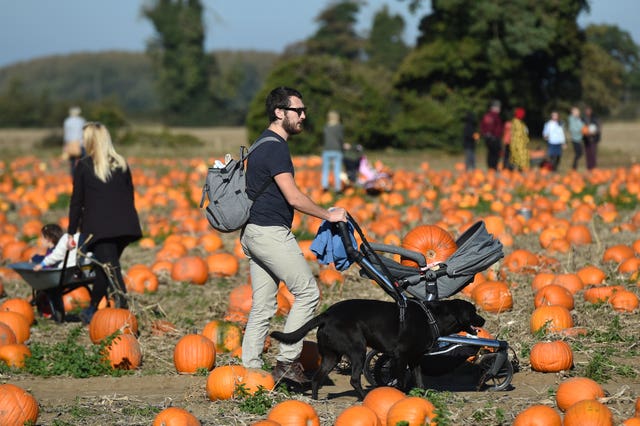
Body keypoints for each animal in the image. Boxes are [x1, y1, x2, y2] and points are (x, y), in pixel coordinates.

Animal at [270, 298, 484, 402]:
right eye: (473, 311)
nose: (483, 320)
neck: (431, 317)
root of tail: (327, 314)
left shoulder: (415, 359)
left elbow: (419, 380)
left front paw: (422, 395)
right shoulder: (400, 357)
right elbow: (400, 381)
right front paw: (400, 397)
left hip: (332, 356)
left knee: (316, 378)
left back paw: (315, 401)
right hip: (358, 350)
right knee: (354, 379)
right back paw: (364, 398)